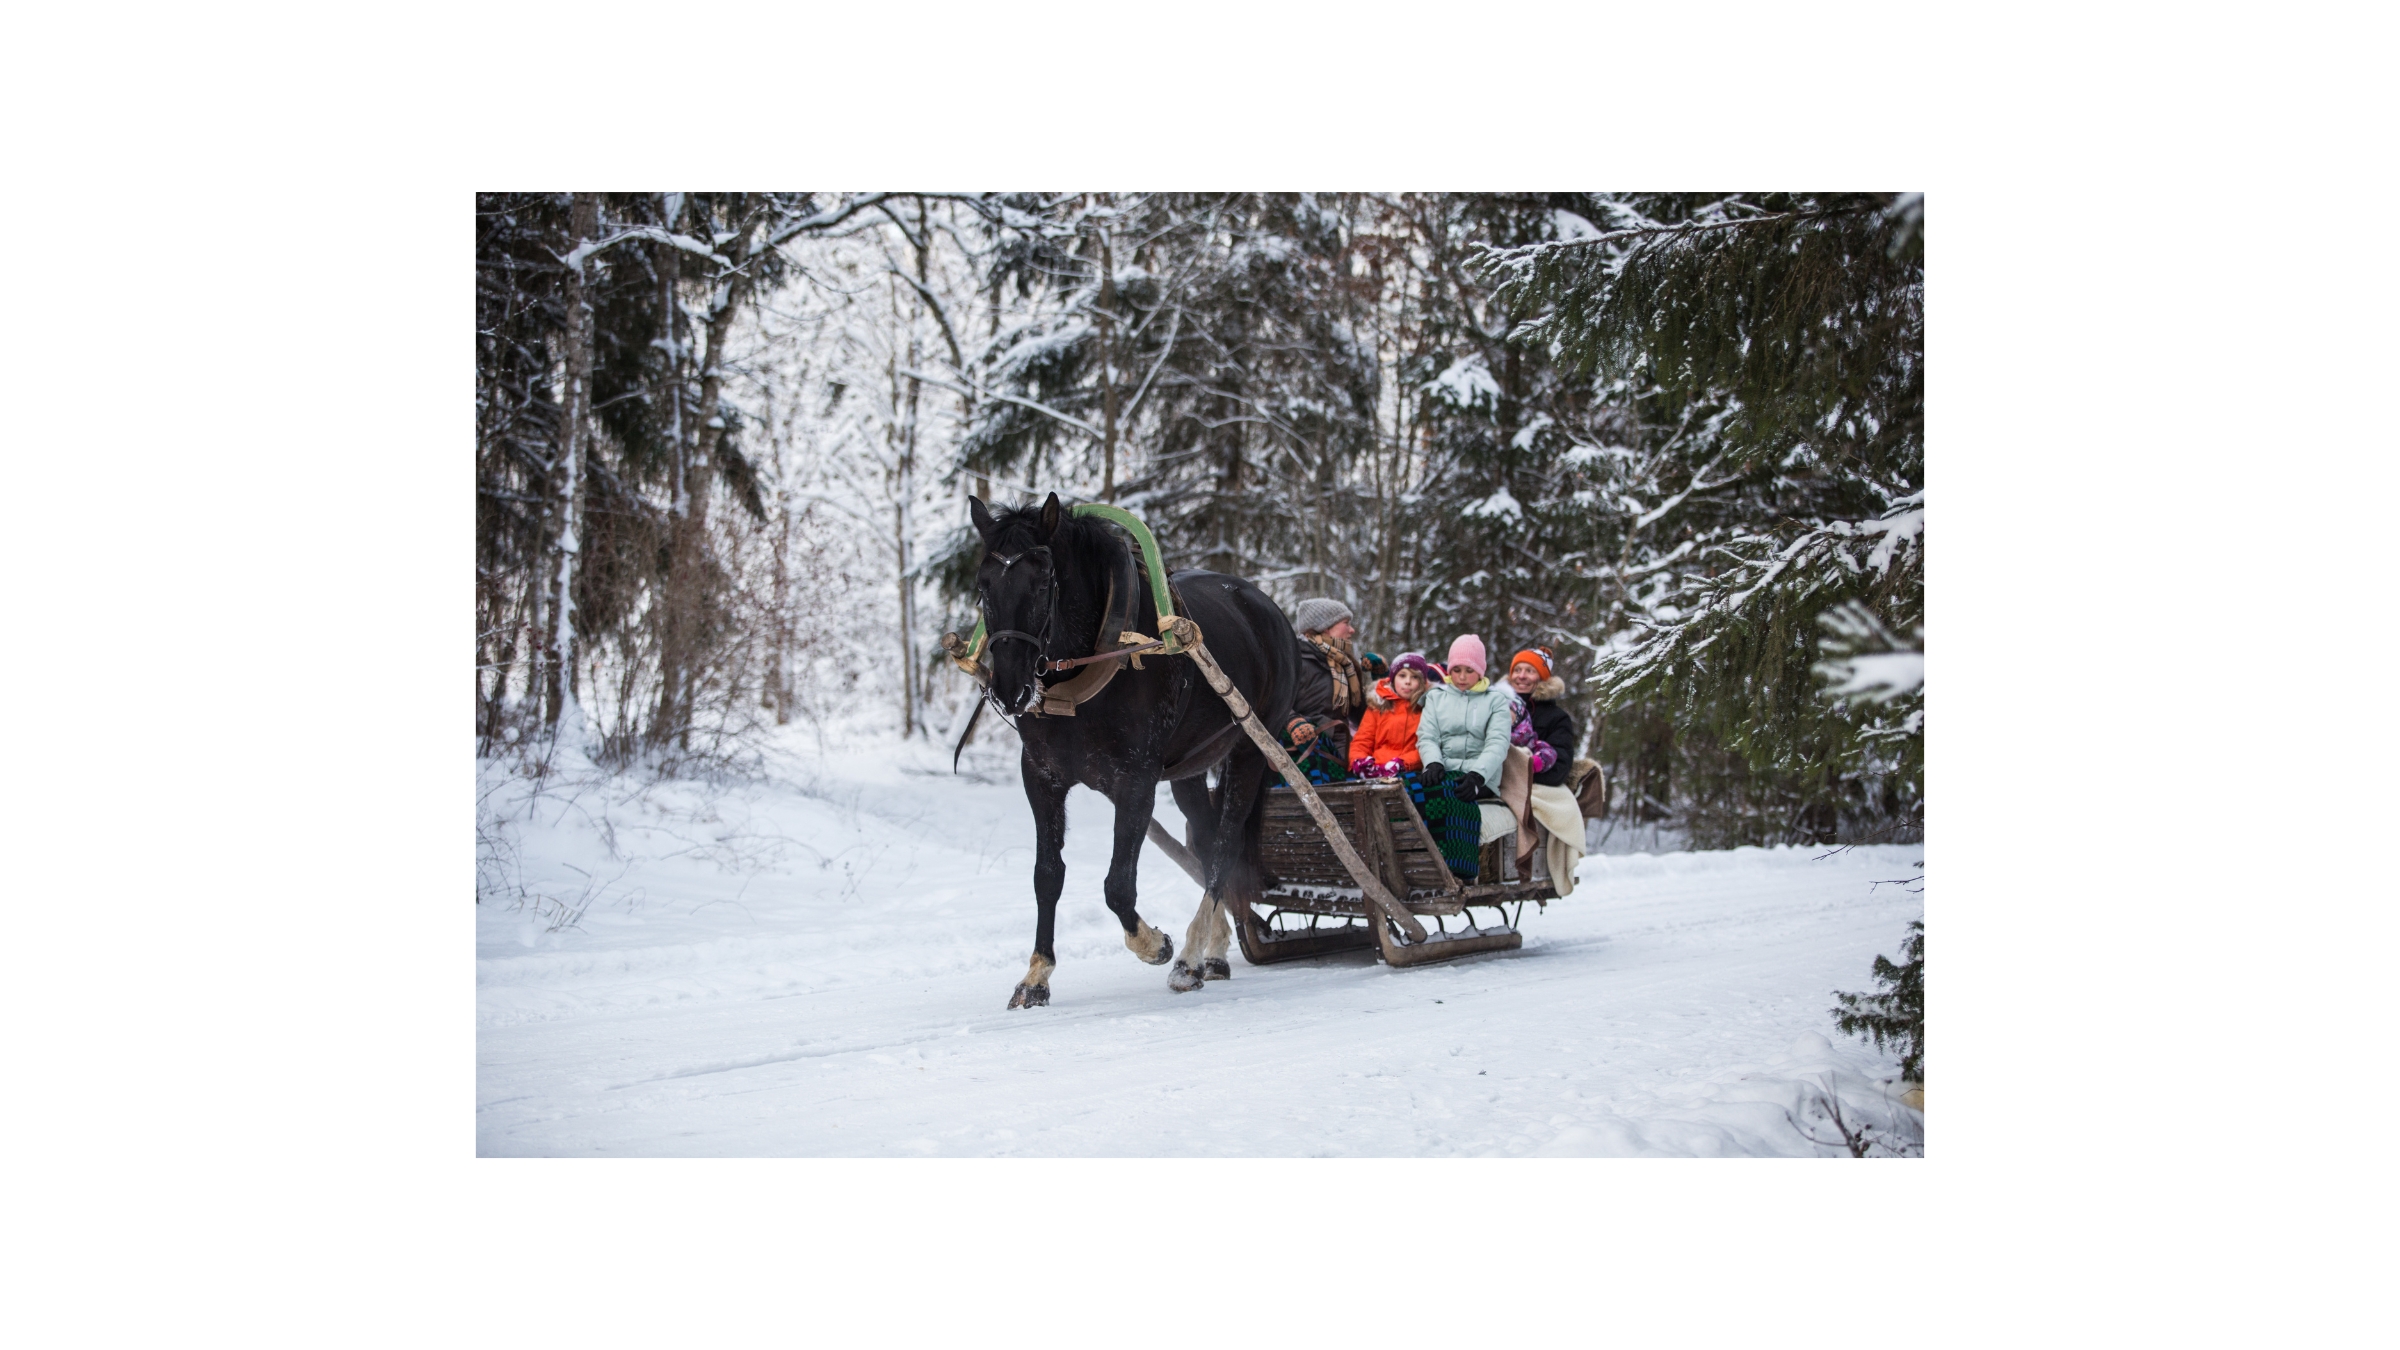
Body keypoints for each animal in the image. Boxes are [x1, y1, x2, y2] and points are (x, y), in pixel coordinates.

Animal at [964, 487, 1296, 1004]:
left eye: (1042, 584)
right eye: (983, 586)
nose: (1009, 689)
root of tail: (1270, 610)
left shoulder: (1136, 781)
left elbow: (1118, 885)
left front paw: (1155, 944)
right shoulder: (1041, 776)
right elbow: (1047, 875)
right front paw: (1036, 976)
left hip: (1250, 752)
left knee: (1225, 846)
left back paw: (1188, 959)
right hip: (1188, 771)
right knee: (1204, 841)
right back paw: (1213, 951)